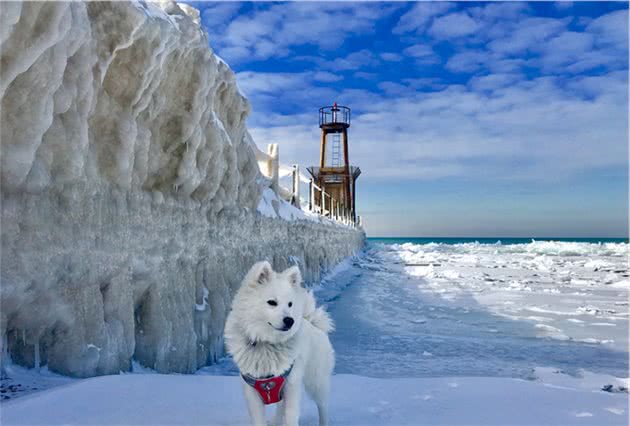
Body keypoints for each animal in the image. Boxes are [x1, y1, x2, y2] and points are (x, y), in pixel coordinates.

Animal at [226, 262, 336, 426]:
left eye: (290, 304)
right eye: (272, 302)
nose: (290, 321)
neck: (267, 343)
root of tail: (313, 323)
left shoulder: (292, 386)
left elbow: (291, 417)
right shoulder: (252, 392)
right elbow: (260, 420)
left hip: (316, 381)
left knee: (323, 406)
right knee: (280, 407)